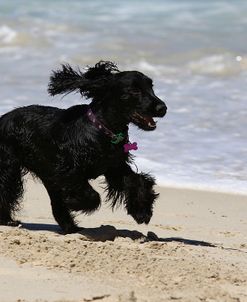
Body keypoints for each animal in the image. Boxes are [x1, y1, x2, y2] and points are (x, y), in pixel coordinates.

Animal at [0, 60, 167, 232]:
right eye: (134, 90)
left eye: (151, 87)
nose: (162, 108)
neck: (102, 129)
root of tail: (2, 119)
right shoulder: (68, 170)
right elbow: (93, 196)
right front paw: (73, 202)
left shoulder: (114, 167)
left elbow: (137, 181)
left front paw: (142, 211)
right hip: (9, 168)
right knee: (5, 191)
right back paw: (8, 220)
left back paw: (70, 227)